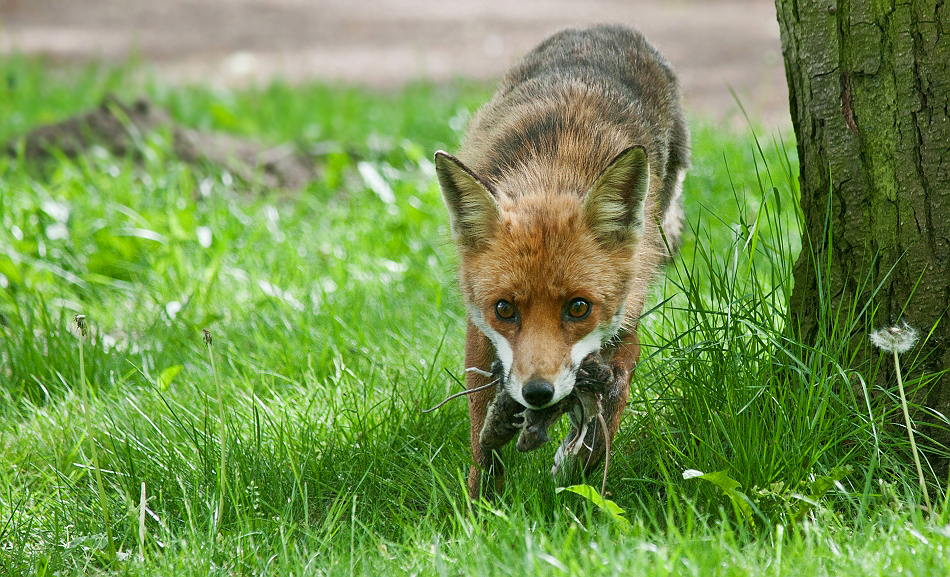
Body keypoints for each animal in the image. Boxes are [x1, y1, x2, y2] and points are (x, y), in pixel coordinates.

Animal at [436, 23, 688, 500]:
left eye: (578, 307)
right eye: (504, 309)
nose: (537, 393)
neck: (553, 172)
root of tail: (605, 27)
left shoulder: (624, 323)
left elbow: (609, 410)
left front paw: (577, 471)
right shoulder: (480, 333)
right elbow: (480, 435)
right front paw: (480, 506)